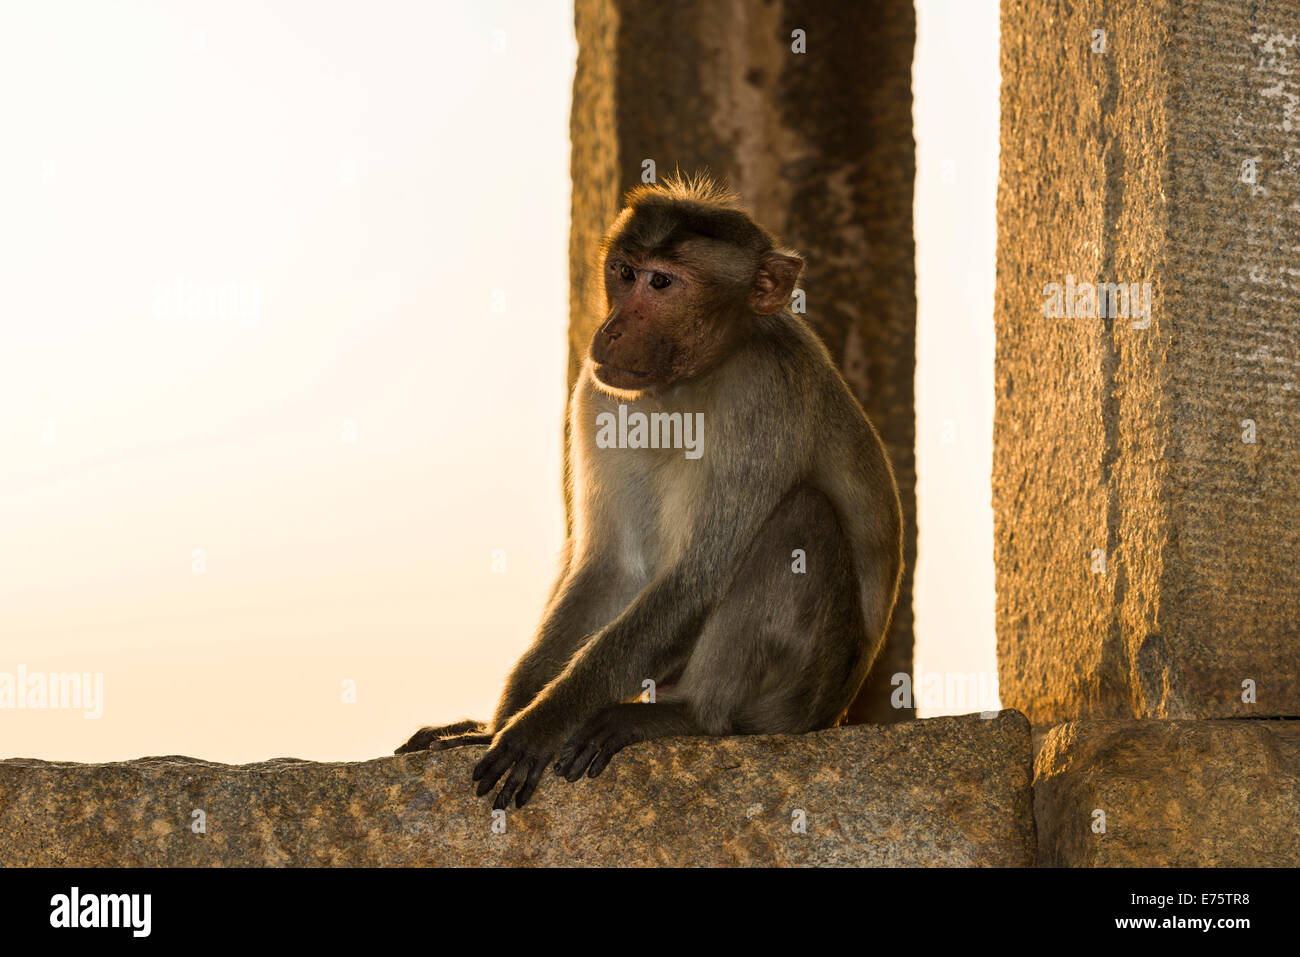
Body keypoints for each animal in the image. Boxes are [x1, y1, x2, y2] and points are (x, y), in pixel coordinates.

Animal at [397, 171, 904, 806]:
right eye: (623, 272)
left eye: (662, 283)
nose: (611, 330)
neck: (690, 379)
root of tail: (834, 715)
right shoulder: (599, 394)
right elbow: (613, 567)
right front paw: (499, 723)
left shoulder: (764, 391)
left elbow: (696, 577)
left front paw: (540, 724)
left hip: (799, 700)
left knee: (802, 516)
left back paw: (694, 718)